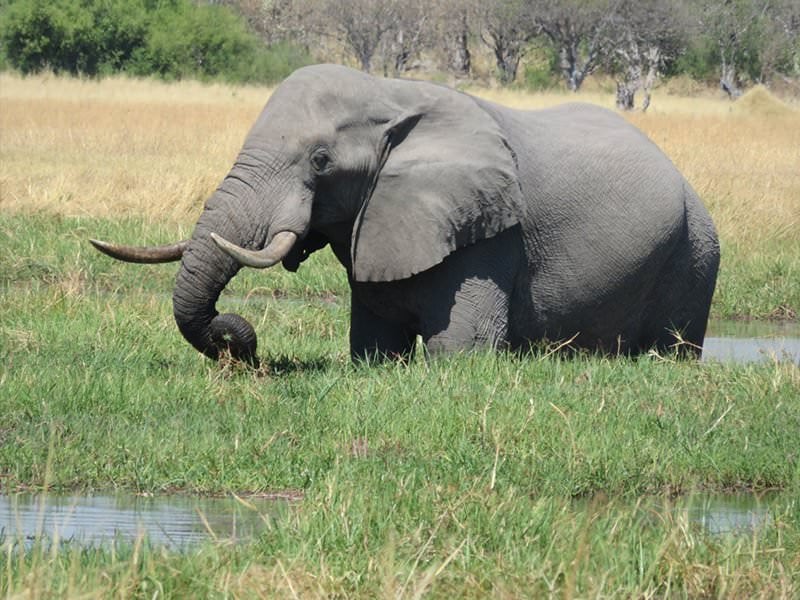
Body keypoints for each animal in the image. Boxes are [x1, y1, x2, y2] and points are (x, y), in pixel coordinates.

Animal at [91, 64, 720, 364]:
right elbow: (374, 346)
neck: (390, 95)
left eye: (320, 161)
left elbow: (458, 355)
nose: (239, 347)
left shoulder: (487, 234)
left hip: (694, 255)